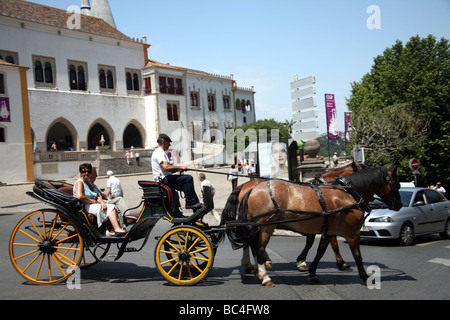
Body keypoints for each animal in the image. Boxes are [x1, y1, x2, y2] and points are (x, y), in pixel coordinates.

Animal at [221, 162, 358, 272]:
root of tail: (244, 186)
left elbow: (311, 242)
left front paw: (302, 261)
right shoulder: (328, 222)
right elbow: (332, 243)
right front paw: (342, 263)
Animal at [236, 166, 400, 286]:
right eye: (396, 185)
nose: (399, 204)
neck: (349, 193)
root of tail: (251, 189)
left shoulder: (327, 230)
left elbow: (320, 251)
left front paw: (312, 271)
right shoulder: (353, 233)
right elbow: (357, 255)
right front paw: (364, 275)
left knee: (252, 245)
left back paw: (256, 269)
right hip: (266, 227)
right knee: (258, 247)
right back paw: (264, 275)